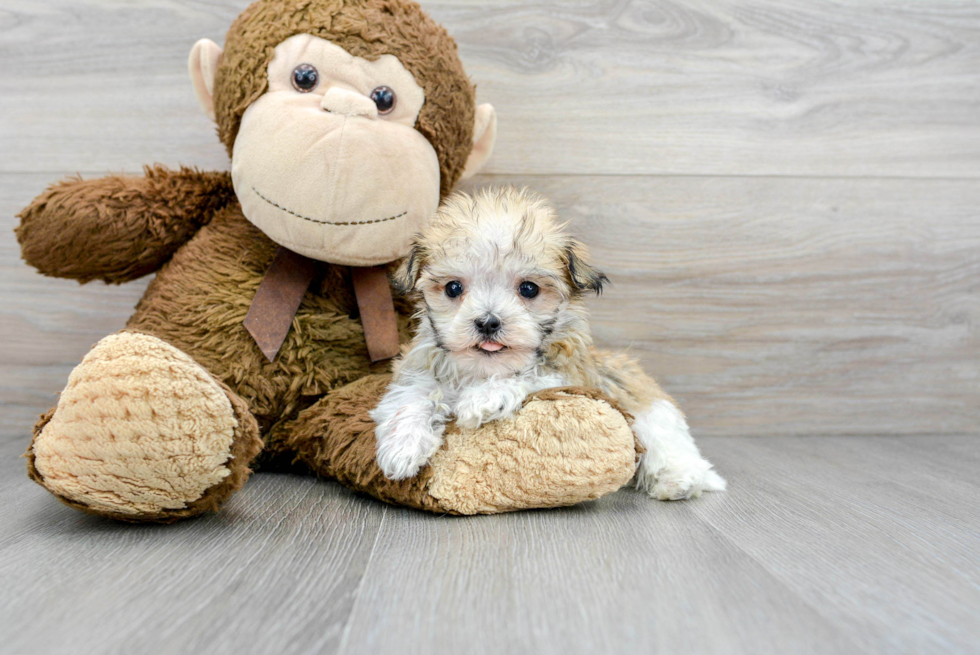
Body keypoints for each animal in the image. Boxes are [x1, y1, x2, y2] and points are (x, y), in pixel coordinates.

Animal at [372, 187, 724, 500]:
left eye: (529, 289)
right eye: (453, 288)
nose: (488, 322)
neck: (483, 369)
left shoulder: (570, 375)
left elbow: (532, 375)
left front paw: (484, 398)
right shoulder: (418, 369)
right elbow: (414, 395)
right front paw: (403, 447)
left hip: (653, 415)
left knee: (670, 449)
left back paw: (679, 481)